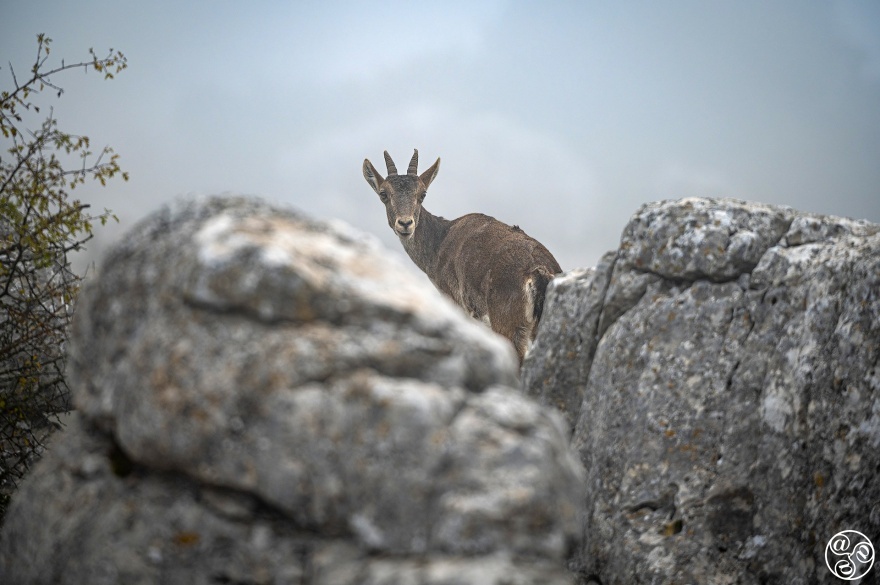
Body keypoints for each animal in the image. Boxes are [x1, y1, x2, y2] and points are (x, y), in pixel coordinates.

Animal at [362, 149, 561, 364]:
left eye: (422, 194)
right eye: (383, 194)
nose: (405, 224)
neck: (439, 243)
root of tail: (539, 272)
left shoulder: (455, 301)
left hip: (508, 325)